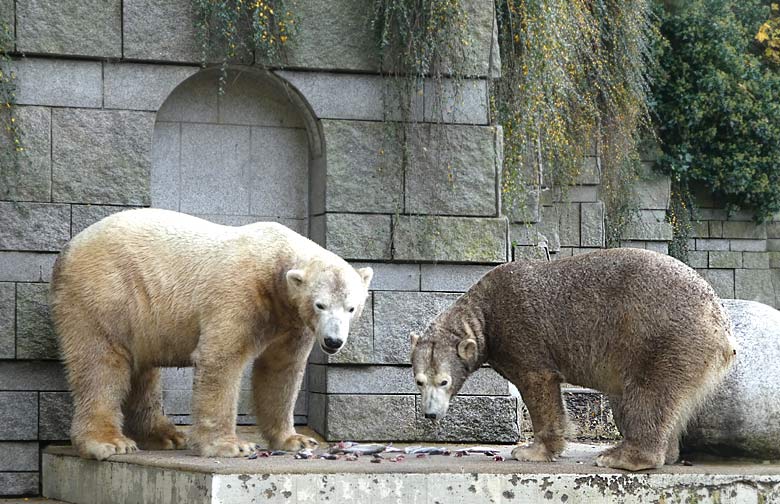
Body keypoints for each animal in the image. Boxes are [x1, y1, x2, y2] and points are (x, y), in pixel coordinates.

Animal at [50, 207, 374, 458]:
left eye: (352, 307)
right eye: (321, 304)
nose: (333, 341)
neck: (275, 264)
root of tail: (67, 250)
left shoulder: (292, 321)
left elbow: (282, 370)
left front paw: (296, 440)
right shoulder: (239, 293)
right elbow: (221, 359)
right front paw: (231, 446)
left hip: (139, 314)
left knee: (142, 373)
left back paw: (166, 435)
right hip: (106, 292)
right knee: (101, 364)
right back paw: (109, 442)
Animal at [412, 248, 736, 472]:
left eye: (444, 381)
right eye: (419, 381)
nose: (430, 414)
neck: (484, 313)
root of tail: (723, 329)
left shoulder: (521, 329)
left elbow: (539, 382)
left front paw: (530, 451)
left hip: (664, 339)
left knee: (648, 394)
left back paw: (620, 456)